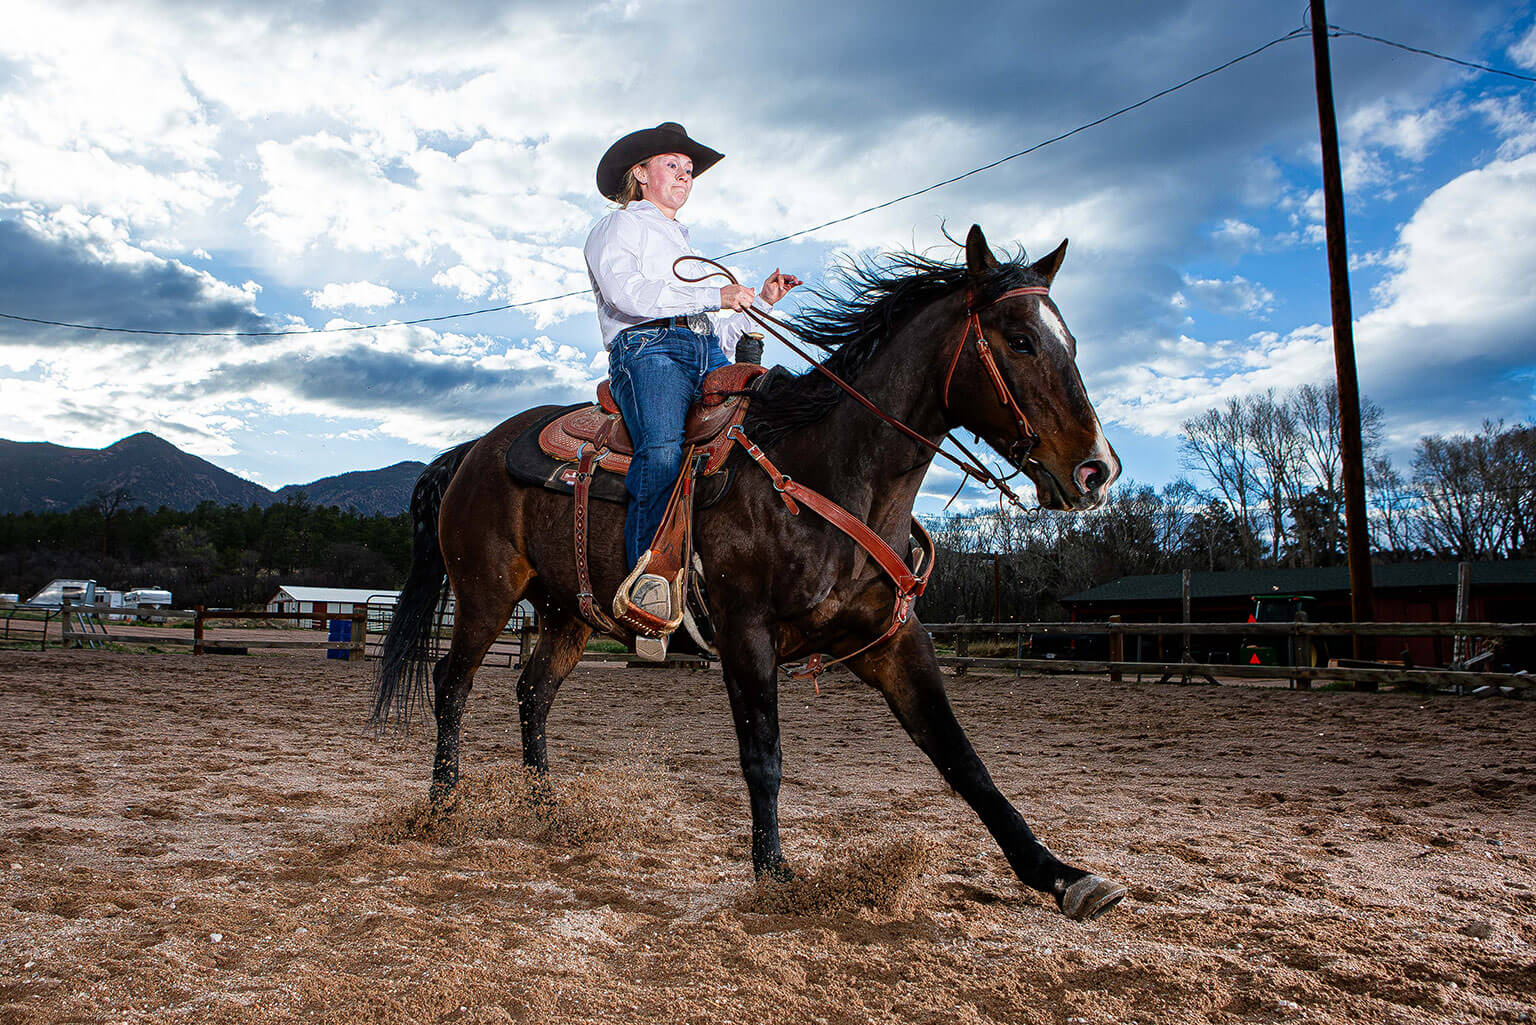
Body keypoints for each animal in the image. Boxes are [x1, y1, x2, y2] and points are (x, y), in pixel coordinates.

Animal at [376, 228, 1130, 928]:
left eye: (1070, 341)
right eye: (1020, 340)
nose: (1097, 469)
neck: (828, 470)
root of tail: (472, 451)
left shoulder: (894, 640)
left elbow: (962, 758)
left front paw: (1061, 875)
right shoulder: (746, 632)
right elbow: (762, 752)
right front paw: (774, 871)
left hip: (568, 612)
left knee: (533, 692)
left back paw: (548, 810)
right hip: (486, 595)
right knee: (452, 681)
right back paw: (443, 806)